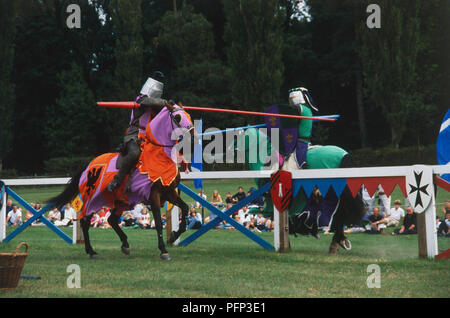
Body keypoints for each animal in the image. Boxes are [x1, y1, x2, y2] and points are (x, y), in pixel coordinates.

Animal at [49, 104, 193, 260]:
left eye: (188, 115)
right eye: (177, 117)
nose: (193, 133)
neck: (158, 155)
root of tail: (87, 167)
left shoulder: (169, 192)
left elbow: (185, 208)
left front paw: (173, 236)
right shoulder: (154, 195)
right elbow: (159, 223)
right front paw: (163, 250)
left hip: (119, 201)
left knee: (111, 220)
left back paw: (124, 244)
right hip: (93, 200)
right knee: (85, 222)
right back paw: (91, 251)